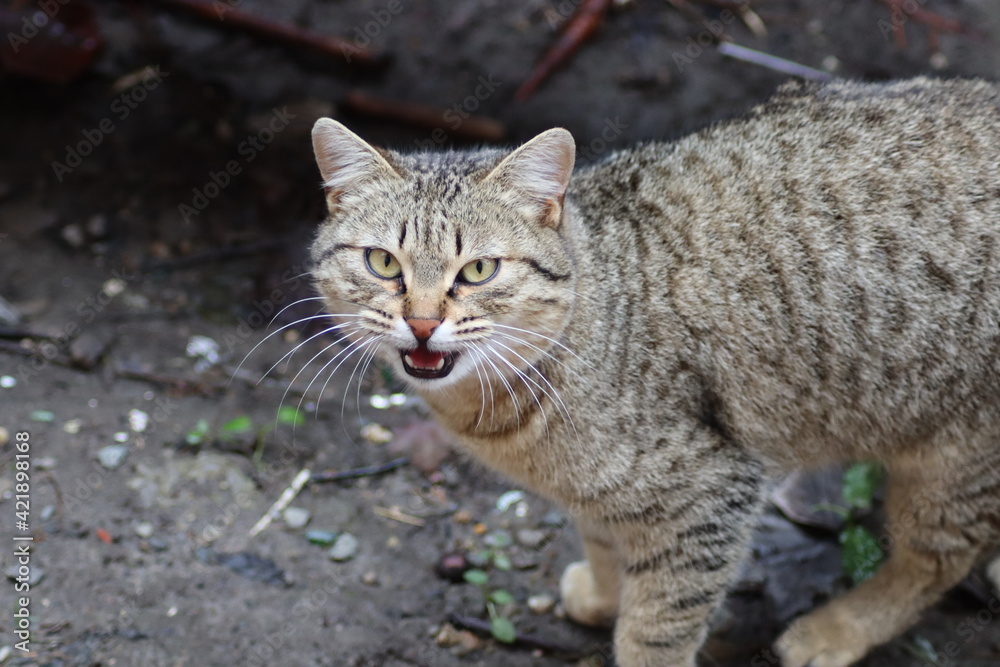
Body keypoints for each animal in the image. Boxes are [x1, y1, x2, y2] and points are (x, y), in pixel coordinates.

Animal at [304, 79, 1000, 667]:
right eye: (381, 262)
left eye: (478, 270)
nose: (421, 323)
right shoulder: (603, 494)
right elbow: (604, 542)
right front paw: (602, 595)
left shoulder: (712, 493)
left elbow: (658, 628)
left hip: (954, 459)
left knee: (941, 557)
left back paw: (835, 631)